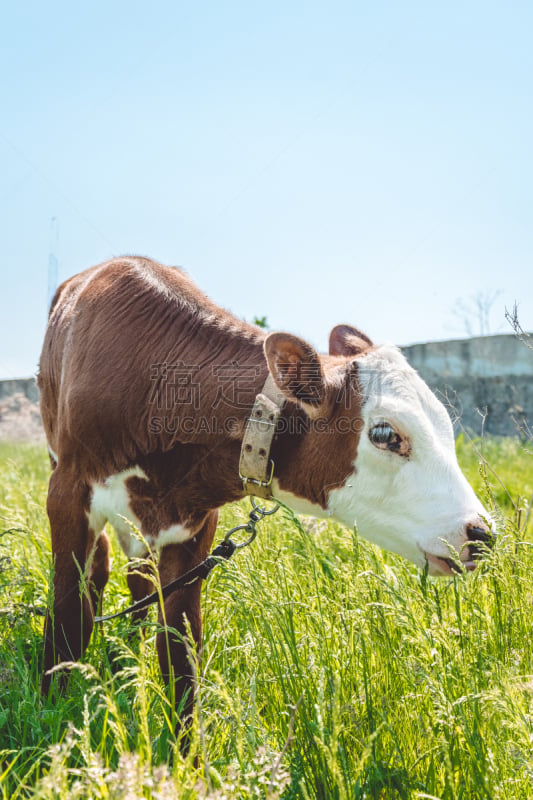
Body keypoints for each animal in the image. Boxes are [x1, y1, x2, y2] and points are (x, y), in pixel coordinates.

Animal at [39, 260, 492, 720]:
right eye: (385, 434)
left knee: (138, 573)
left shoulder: (194, 522)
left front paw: (185, 739)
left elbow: (180, 647)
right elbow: (68, 612)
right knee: (100, 569)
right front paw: (52, 708)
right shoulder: (66, 494)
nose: (481, 533)